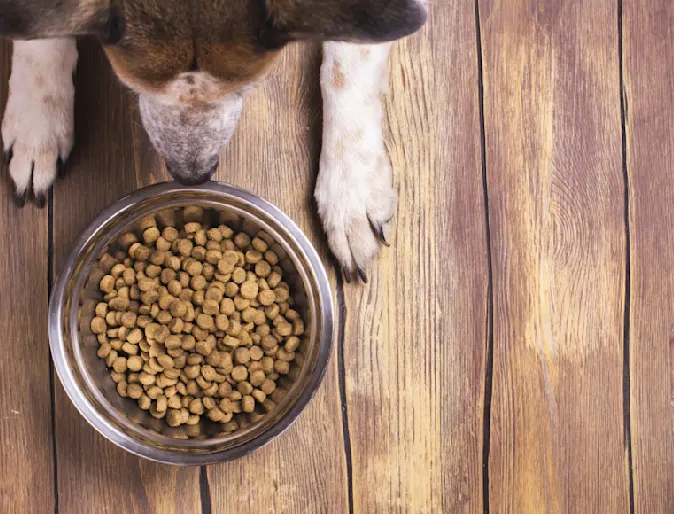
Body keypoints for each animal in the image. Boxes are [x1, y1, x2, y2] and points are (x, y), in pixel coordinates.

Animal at [0, 0, 426, 280]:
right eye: (132, 86)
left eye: (247, 89)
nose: (193, 176)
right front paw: (36, 120)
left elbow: (348, 64)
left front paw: (350, 191)